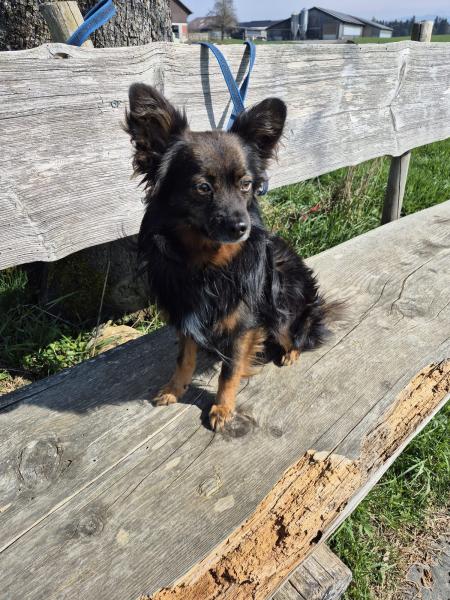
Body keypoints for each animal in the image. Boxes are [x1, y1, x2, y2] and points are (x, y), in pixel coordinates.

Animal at [125, 83, 335, 431]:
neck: (208, 263)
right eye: (202, 188)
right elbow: (184, 358)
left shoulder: (244, 323)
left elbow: (231, 369)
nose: (241, 228)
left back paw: (291, 351)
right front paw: (175, 389)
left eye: (246, 184)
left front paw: (223, 408)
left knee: (294, 332)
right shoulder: (186, 315)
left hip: (283, 302)